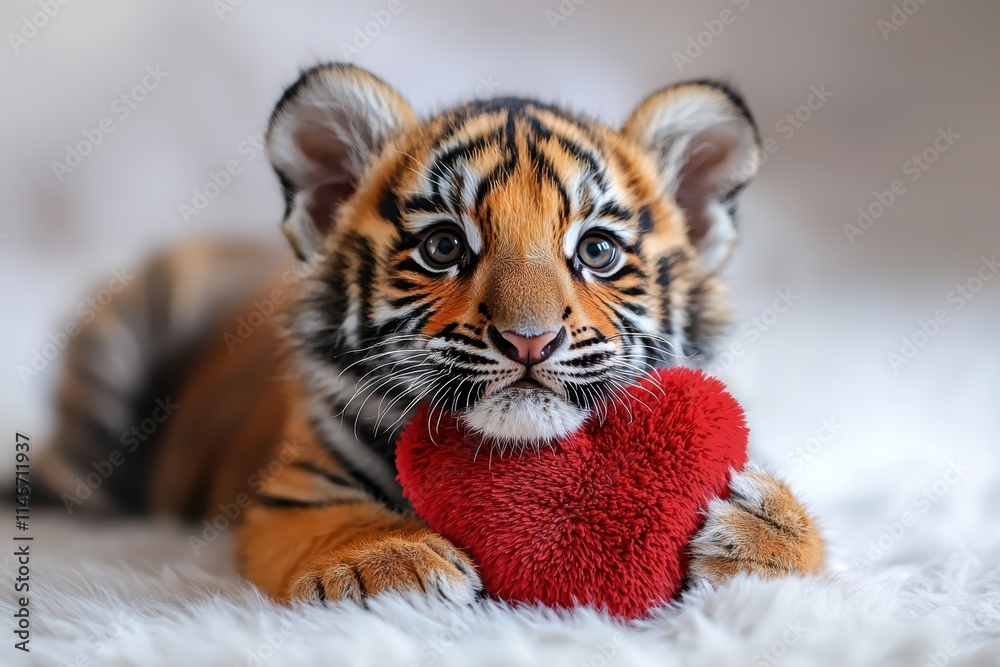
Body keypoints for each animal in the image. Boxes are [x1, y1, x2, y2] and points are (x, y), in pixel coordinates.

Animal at [34, 63, 823, 605]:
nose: (530, 339)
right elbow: (341, 520)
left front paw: (763, 533)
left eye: (597, 251)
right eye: (444, 247)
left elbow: (805, 542)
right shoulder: (292, 491)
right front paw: (387, 560)